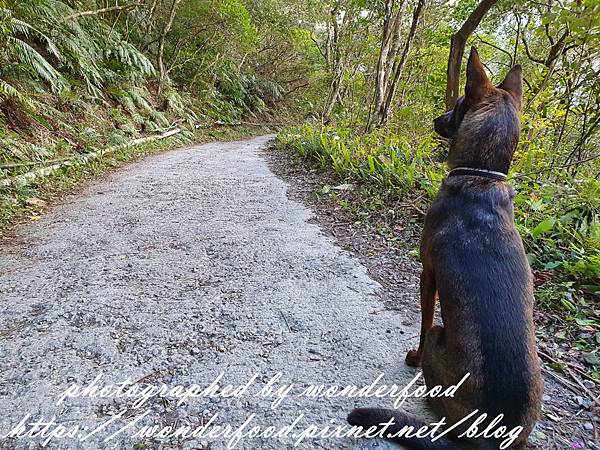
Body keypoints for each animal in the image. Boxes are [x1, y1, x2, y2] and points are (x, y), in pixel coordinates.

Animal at [346, 47, 544, 448]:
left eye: (458, 104)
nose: (437, 119)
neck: (481, 177)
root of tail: (493, 435)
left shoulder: (427, 273)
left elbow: (422, 323)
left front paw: (413, 356)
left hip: (442, 336)